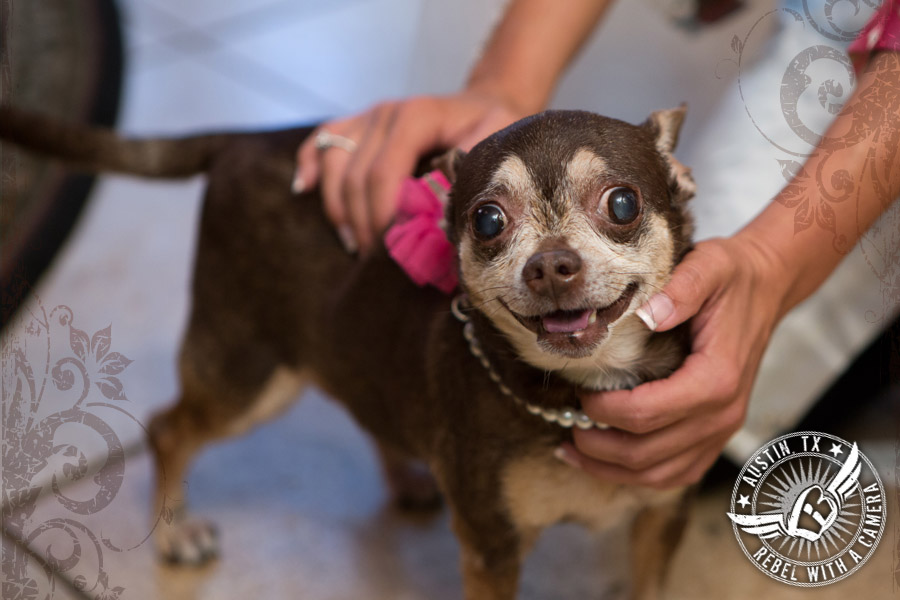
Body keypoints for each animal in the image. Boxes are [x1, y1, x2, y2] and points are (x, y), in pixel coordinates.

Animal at [0, 105, 696, 596]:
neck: (577, 394)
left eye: (623, 203)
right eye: (488, 221)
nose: (550, 265)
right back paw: (175, 534)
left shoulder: (662, 519)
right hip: (250, 373)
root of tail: (247, 138)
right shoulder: (491, 548)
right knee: (171, 427)